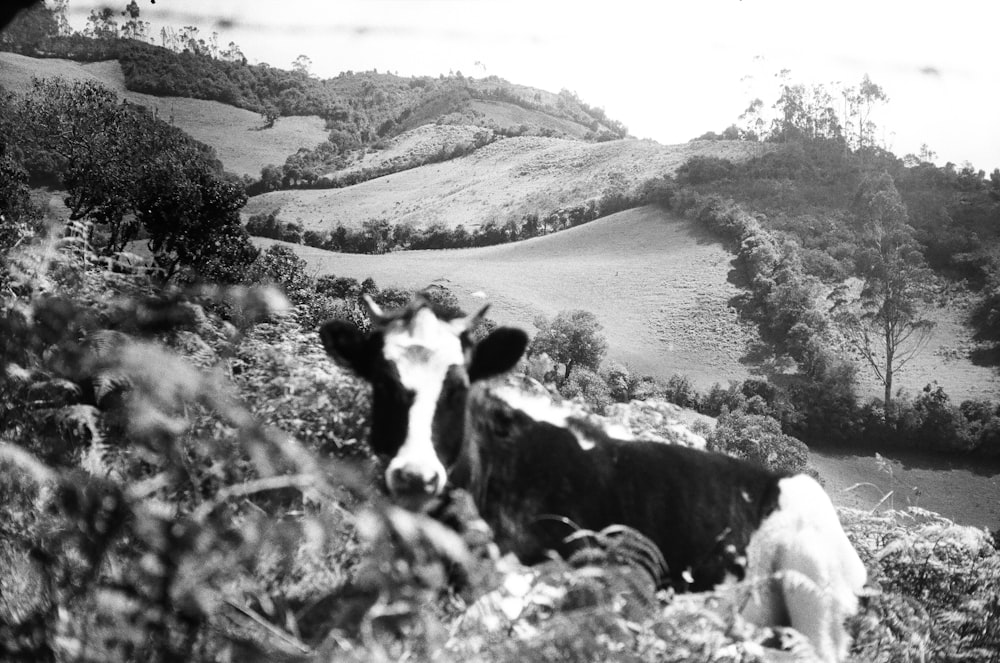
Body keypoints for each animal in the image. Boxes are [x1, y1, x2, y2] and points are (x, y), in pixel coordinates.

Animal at [320, 296, 868, 663]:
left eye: (458, 388)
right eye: (382, 381)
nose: (415, 476)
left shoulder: (552, 573)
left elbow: (467, 633)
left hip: (816, 591)